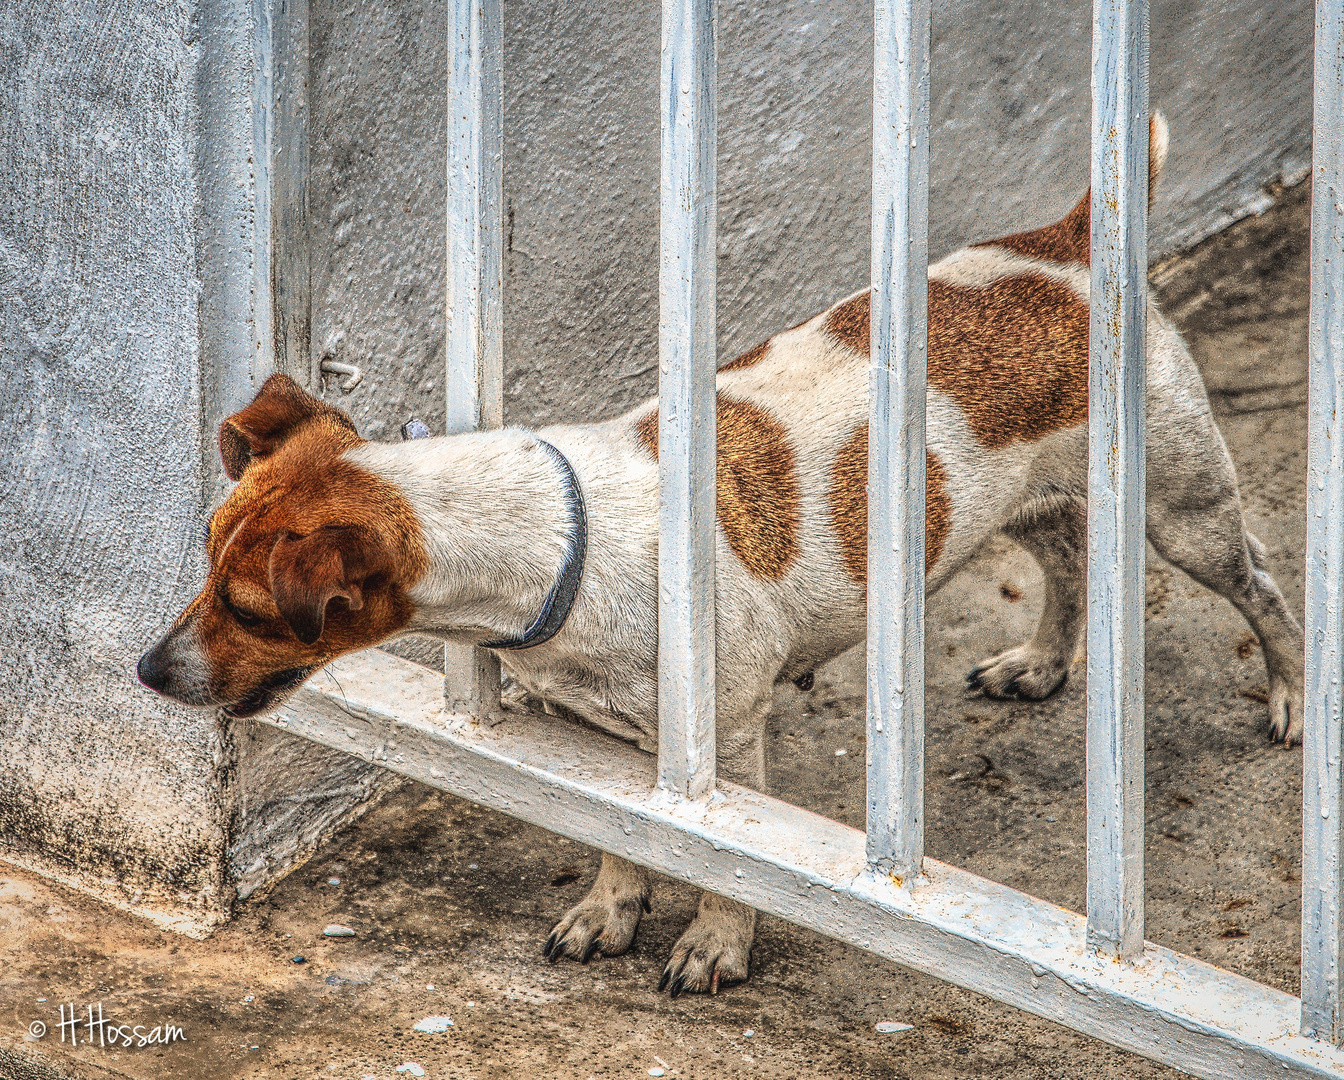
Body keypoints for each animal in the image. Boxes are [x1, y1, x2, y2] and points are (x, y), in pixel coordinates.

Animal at [139, 116, 1300, 994]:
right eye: (204, 569)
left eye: (249, 606)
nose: (146, 672)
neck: (560, 535)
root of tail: (1066, 245)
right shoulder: (603, 744)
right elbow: (620, 839)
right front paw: (610, 912)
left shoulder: (726, 740)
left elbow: (721, 870)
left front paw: (711, 945)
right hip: (1021, 503)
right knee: (1066, 566)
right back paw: (1044, 663)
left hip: (1184, 506)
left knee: (1262, 582)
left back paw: (1291, 697)